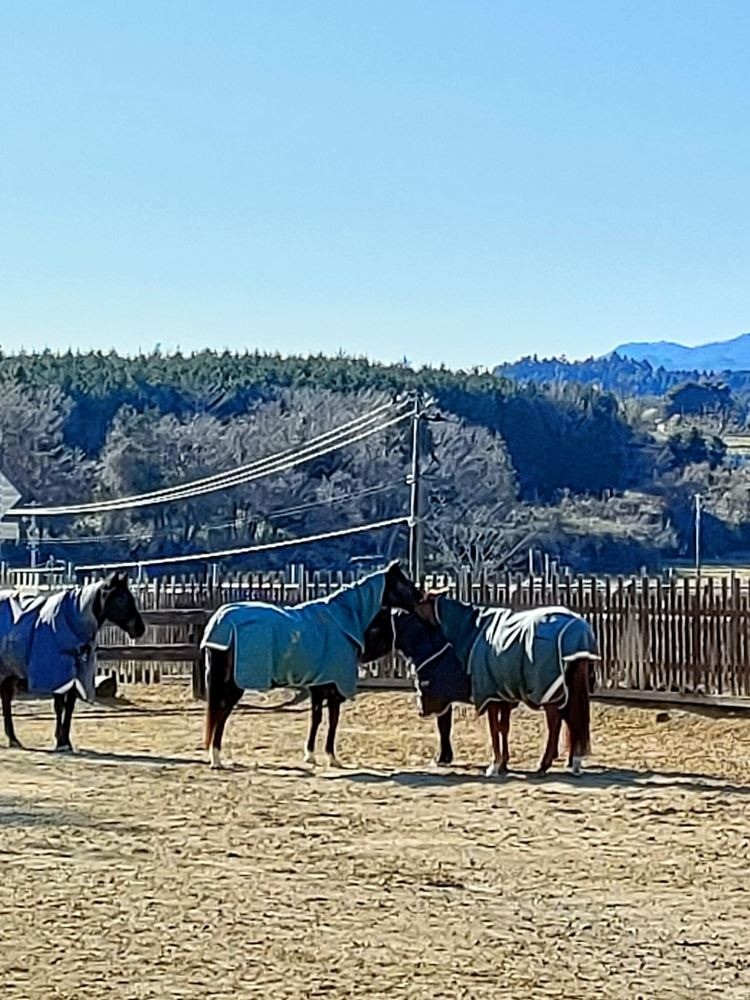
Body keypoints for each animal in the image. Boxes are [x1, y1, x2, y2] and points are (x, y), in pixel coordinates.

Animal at [0, 572, 145, 752]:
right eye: (120, 599)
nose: (140, 629)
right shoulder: (57, 673)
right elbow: (59, 706)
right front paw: (60, 742)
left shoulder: (76, 676)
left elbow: (69, 707)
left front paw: (65, 741)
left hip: (10, 669)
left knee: (6, 697)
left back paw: (13, 739)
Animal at [200, 560, 424, 768]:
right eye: (403, 582)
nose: (421, 597)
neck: (341, 621)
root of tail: (222, 621)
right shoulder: (334, 688)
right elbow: (333, 720)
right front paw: (332, 758)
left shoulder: (318, 686)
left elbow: (316, 718)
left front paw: (310, 755)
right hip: (235, 684)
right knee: (222, 713)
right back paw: (216, 758)